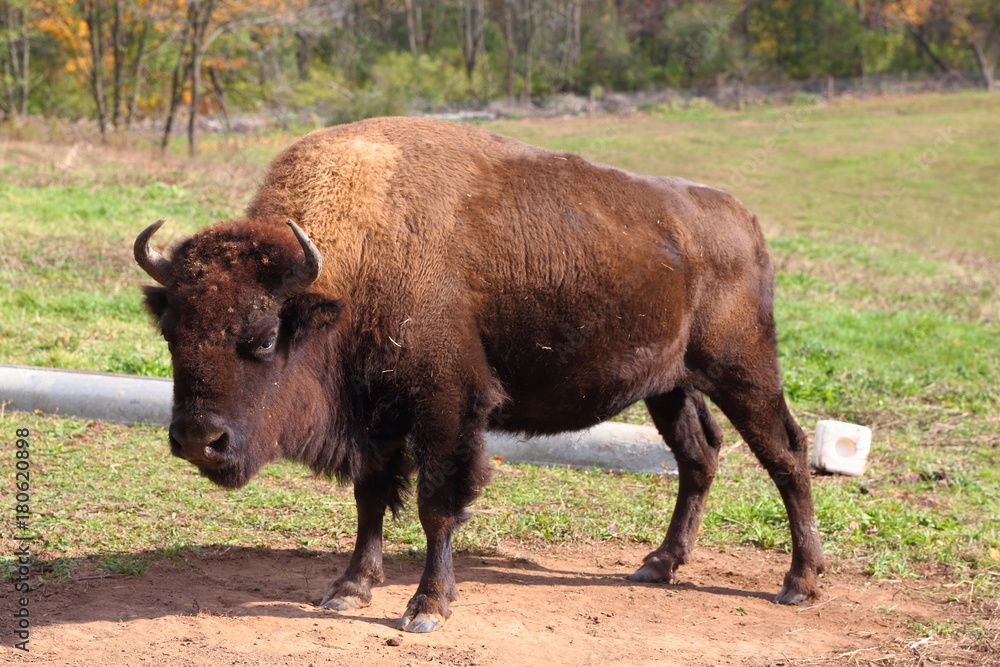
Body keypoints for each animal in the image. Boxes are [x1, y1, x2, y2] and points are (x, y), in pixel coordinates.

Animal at [135, 117, 820, 636]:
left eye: (265, 336)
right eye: (170, 332)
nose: (198, 440)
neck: (351, 267)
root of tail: (742, 219)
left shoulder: (447, 408)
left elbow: (437, 503)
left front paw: (427, 607)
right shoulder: (377, 418)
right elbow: (370, 499)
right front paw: (350, 588)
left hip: (742, 369)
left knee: (787, 452)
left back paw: (800, 582)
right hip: (670, 385)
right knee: (699, 455)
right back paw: (658, 564)